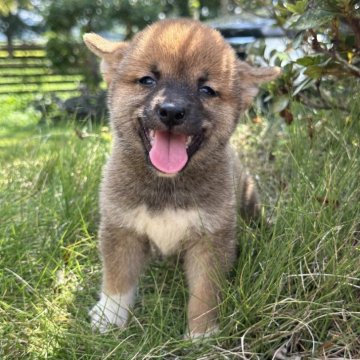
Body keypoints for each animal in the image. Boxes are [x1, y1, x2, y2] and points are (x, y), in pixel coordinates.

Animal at [83, 17, 278, 338]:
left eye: (207, 90)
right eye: (148, 80)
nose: (171, 112)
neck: (167, 184)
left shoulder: (210, 240)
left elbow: (204, 292)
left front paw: (201, 333)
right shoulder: (121, 229)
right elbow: (118, 277)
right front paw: (110, 315)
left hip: (248, 200)